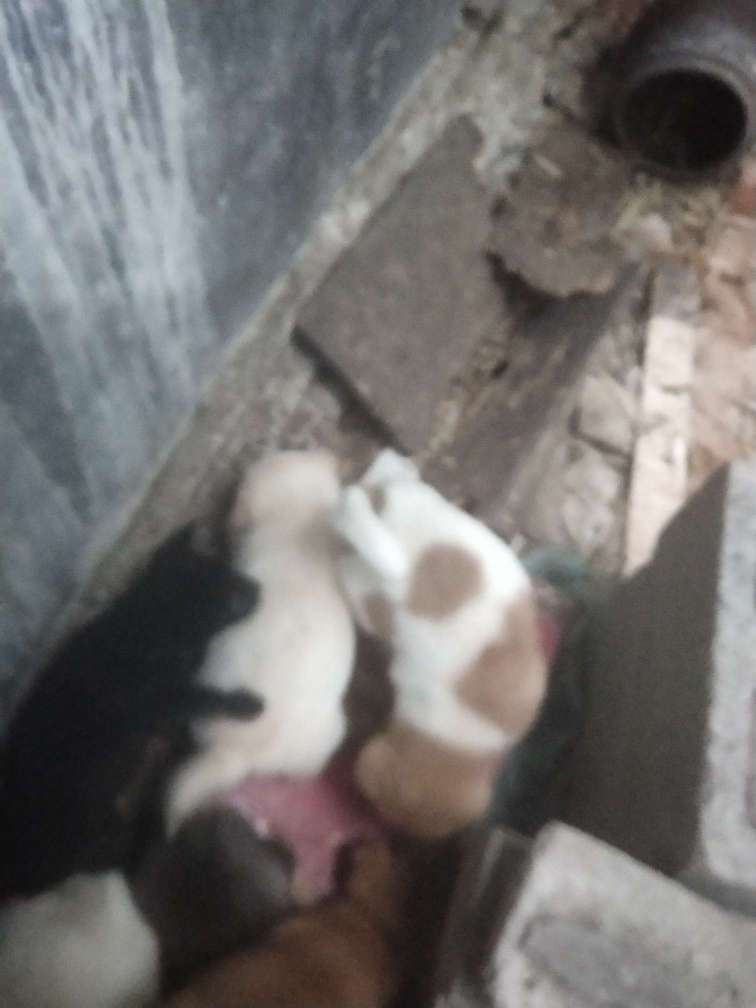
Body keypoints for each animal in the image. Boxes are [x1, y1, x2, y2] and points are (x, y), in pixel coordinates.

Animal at [0, 526, 263, 897]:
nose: (259, 588)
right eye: (235, 598)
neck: (144, 620)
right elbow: (201, 695)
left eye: (229, 569)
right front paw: (245, 704)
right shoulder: (159, 695)